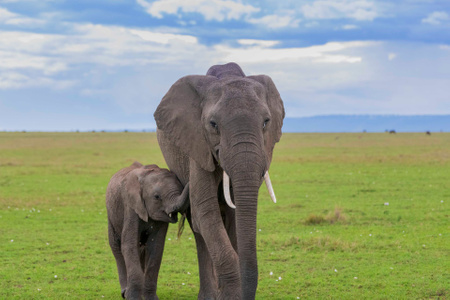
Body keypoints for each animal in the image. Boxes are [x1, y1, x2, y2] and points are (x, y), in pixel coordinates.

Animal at [107, 163, 188, 298]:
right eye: (157, 197)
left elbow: (156, 247)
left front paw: (150, 297)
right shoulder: (131, 206)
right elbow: (129, 245)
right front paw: (133, 297)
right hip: (111, 215)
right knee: (116, 247)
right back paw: (124, 292)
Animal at [153, 62, 284, 298]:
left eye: (266, 123)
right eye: (213, 124)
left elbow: (235, 215)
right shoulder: (198, 143)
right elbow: (205, 211)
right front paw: (231, 295)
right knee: (198, 227)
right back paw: (207, 296)